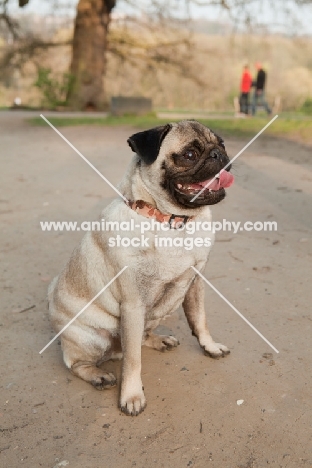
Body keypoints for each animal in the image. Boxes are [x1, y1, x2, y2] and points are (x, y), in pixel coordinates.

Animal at [48, 119, 234, 414]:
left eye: (222, 144)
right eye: (189, 154)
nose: (219, 155)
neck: (171, 221)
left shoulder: (195, 284)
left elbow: (200, 320)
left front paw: (210, 347)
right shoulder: (133, 305)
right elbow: (133, 360)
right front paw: (132, 395)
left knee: (140, 339)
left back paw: (159, 339)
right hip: (93, 337)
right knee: (77, 363)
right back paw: (98, 375)